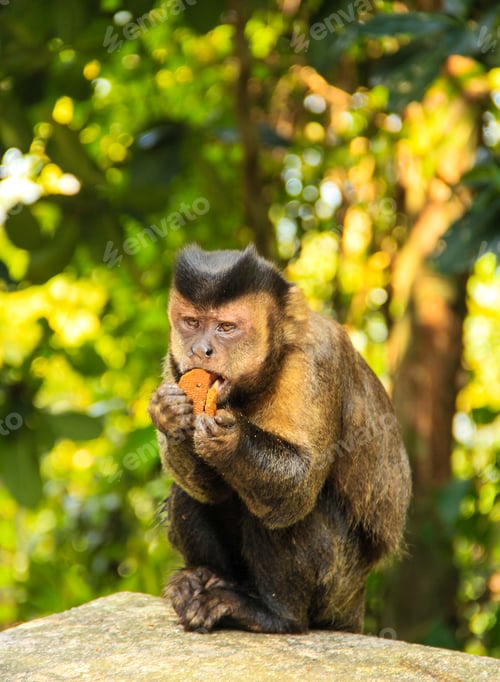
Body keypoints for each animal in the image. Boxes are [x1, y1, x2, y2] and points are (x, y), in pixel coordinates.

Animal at [148, 244, 411, 634]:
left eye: (226, 328)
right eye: (192, 323)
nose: (200, 349)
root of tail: (357, 598)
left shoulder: (316, 360)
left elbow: (297, 488)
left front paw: (230, 440)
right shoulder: (174, 363)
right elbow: (209, 489)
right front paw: (169, 415)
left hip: (340, 585)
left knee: (293, 511)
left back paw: (275, 615)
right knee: (191, 494)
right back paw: (206, 579)